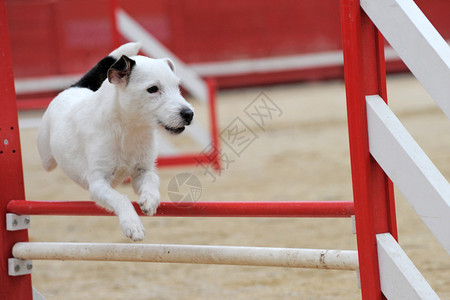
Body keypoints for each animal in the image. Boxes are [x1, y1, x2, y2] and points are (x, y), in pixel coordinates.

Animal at [36, 42, 193, 240]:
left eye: (177, 87)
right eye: (152, 89)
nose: (189, 114)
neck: (129, 130)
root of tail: (75, 87)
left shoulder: (142, 171)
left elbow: (152, 180)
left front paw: (150, 200)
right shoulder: (98, 183)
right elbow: (121, 198)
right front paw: (132, 225)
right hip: (46, 158)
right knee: (47, 162)